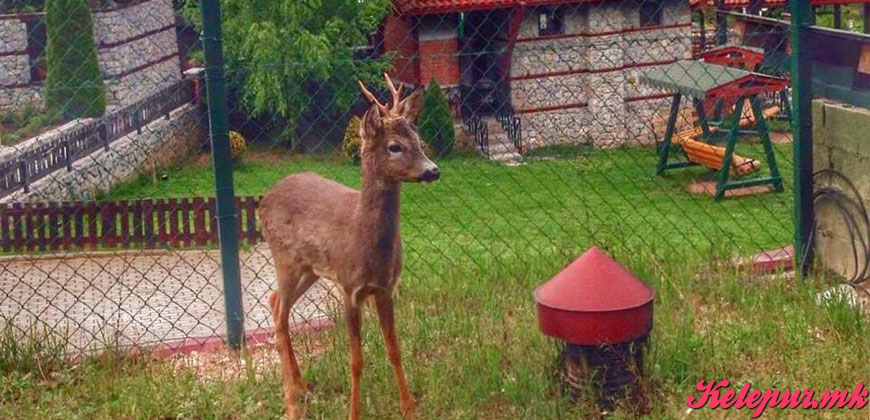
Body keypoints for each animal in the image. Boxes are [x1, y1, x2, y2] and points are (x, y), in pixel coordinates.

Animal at [258, 74, 436, 418]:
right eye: (395, 147)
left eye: (419, 140)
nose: (433, 170)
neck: (364, 240)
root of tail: (264, 197)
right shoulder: (350, 289)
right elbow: (356, 361)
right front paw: (354, 413)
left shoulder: (385, 288)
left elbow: (395, 350)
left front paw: (409, 408)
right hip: (283, 257)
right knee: (281, 316)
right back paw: (291, 403)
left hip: (310, 268)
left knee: (274, 302)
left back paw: (302, 386)